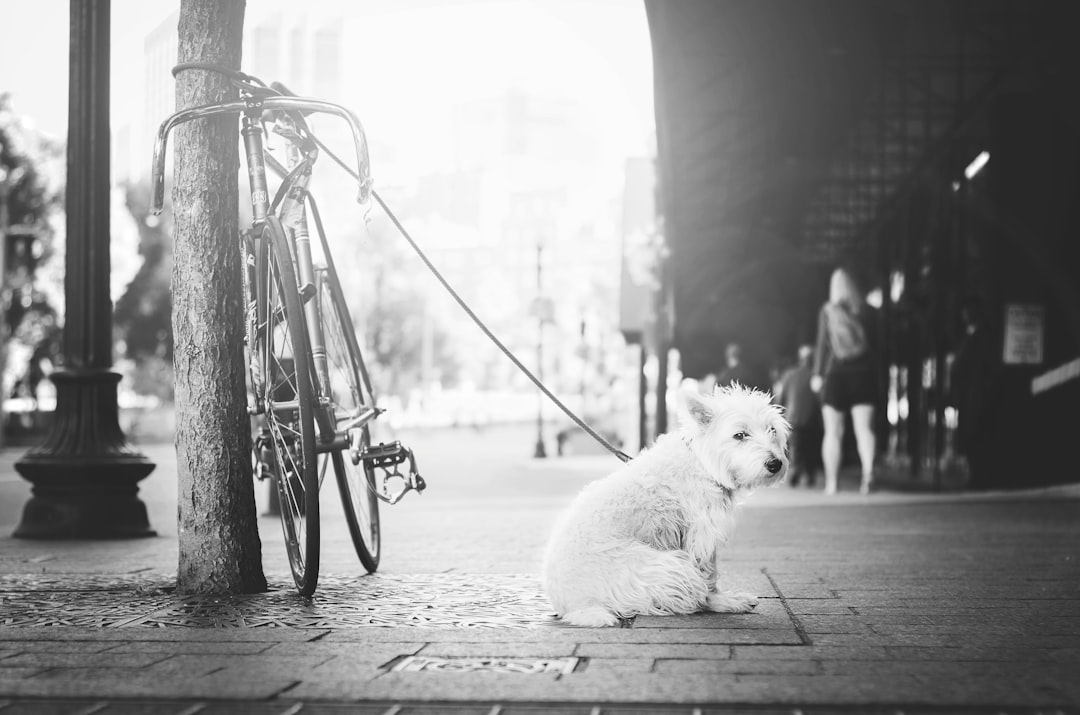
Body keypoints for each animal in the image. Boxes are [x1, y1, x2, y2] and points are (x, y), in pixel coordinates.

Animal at [544, 386, 790, 626]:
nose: (775, 464)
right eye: (740, 435)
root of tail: (575, 606)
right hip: (672, 569)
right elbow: (709, 575)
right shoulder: (701, 535)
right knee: (691, 596)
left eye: (772, 430)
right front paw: (722, 599)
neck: (702, 463)